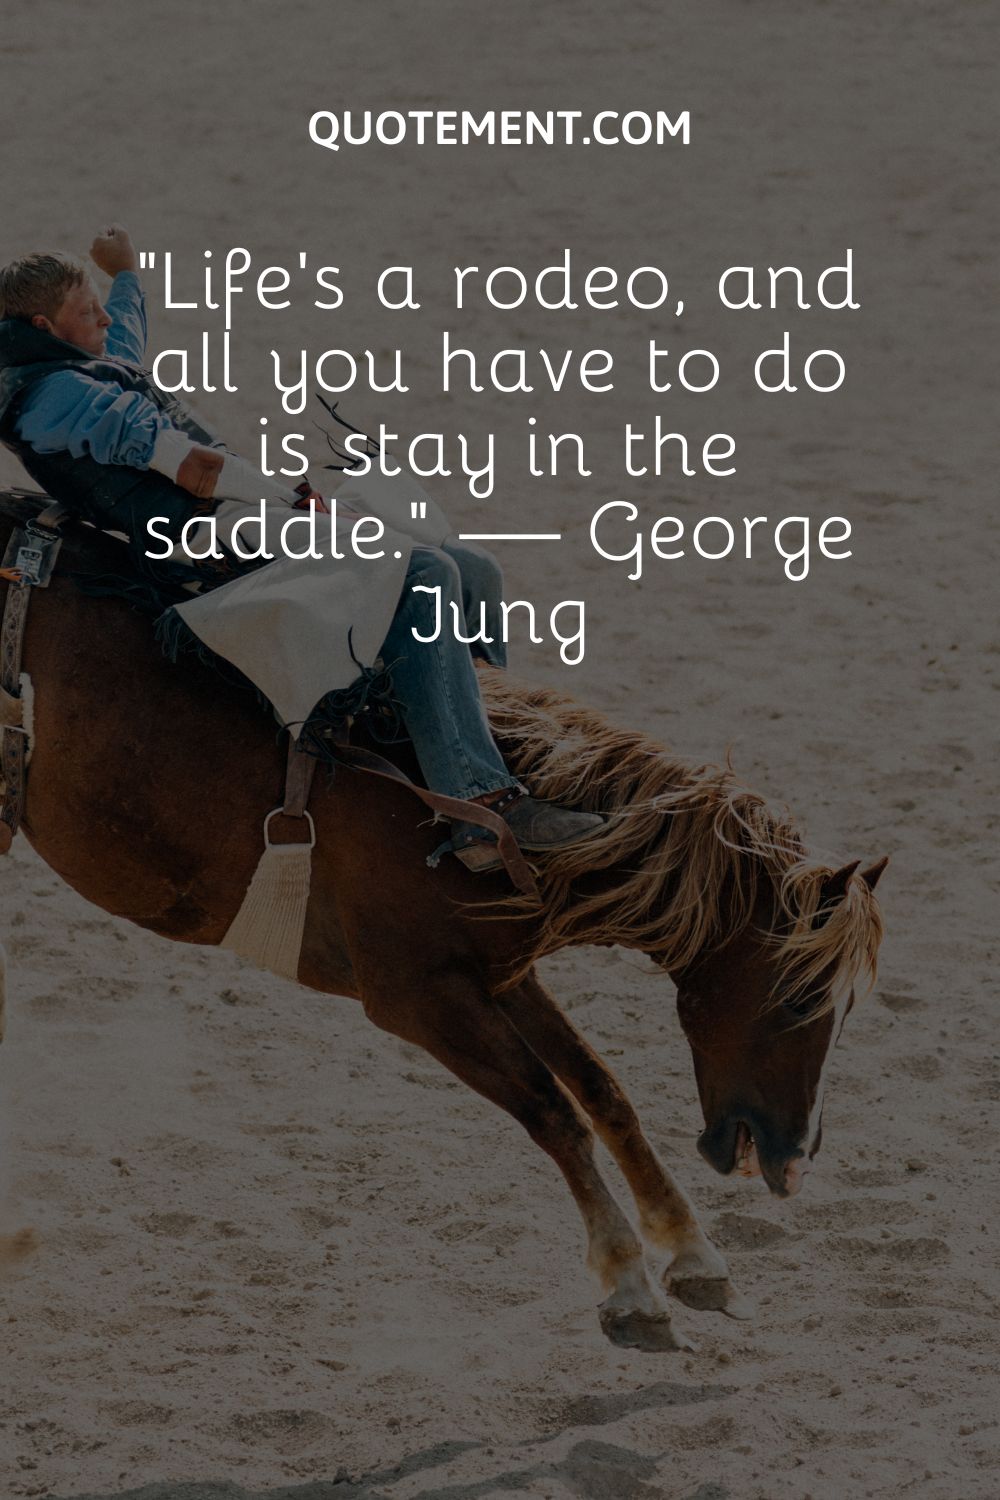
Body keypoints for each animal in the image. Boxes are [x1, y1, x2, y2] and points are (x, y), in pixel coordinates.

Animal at [3, 492, 887, 1350]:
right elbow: (554, 1112)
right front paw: (631, 1288)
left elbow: (603, 1091)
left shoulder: (502, 973)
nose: (796, 1160)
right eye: (802, 1001)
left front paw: (696, 1255)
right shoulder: (417, 997)